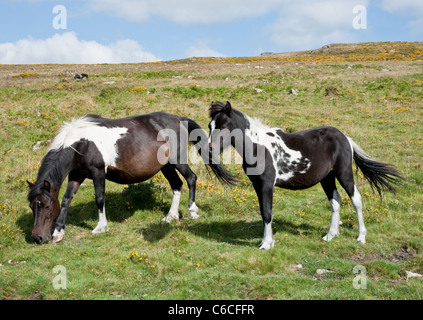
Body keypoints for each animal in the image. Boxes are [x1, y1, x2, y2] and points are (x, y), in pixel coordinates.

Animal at [28, 111, 237, 244]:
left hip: (177, 161)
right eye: (32, 206)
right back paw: (171, 216)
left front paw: (101, 227)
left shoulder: (98, 173)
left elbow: (99, 198)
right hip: (166, 166)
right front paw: (58, 232)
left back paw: (192, 211)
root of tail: (178, 119)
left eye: (46, 206)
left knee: (191, 178)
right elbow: (66, 200)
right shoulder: (76, 175)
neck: (81, 142)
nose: (38, 238)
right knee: (177, 185)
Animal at [208, 101, 404, 249]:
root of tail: (345, 138)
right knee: (335, 201)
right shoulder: (258, 185)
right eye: (210, 126)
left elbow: (267, 212)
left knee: (356, 199)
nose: (209, 148)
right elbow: (264, 212)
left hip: (344, 174)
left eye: (224, 125)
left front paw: (266, 244)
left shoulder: (266, 185)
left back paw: (361, 237)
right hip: (327, 178)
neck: (259, 147)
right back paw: (330, 235)